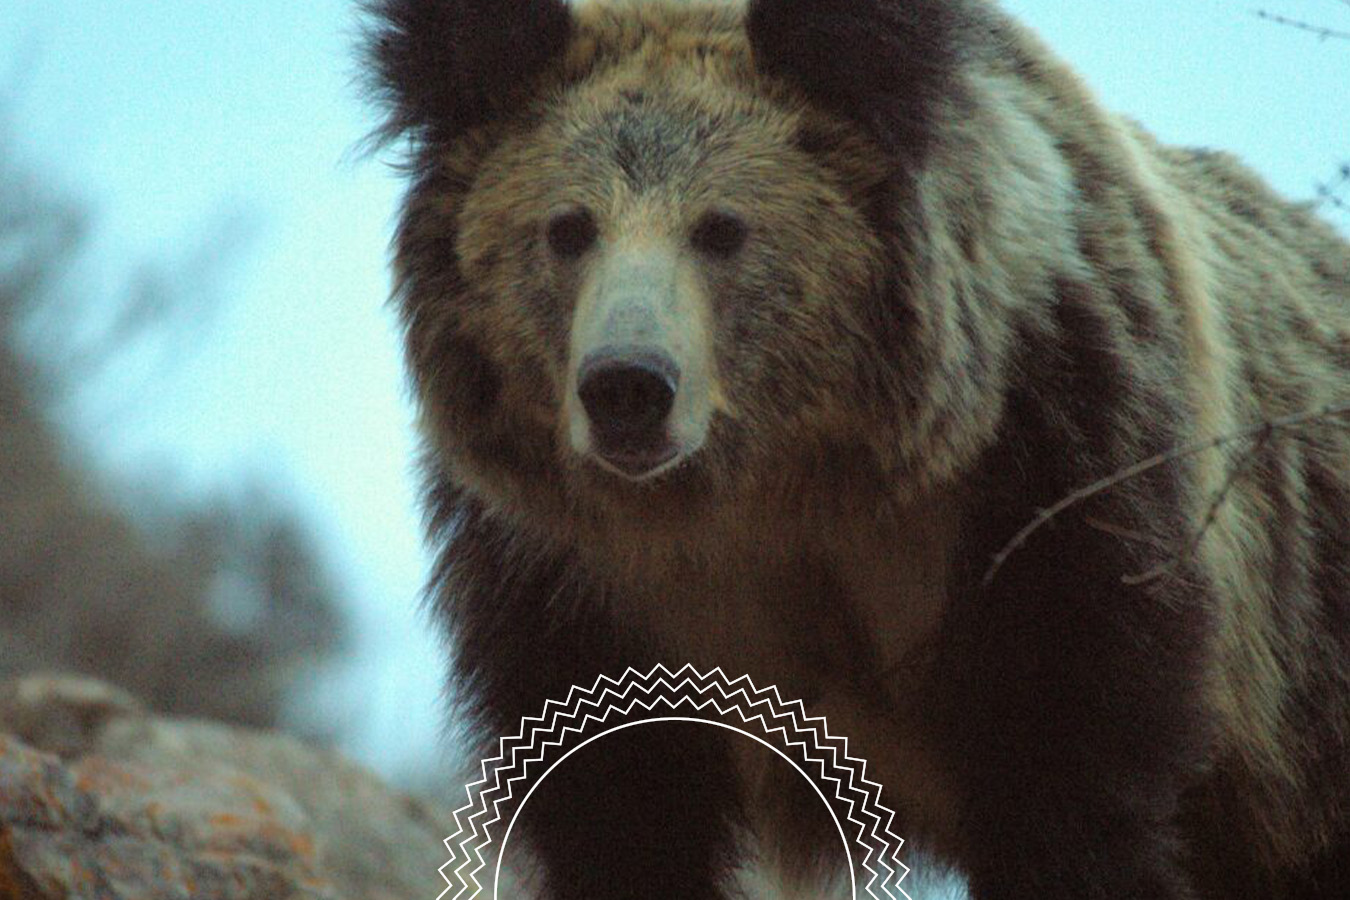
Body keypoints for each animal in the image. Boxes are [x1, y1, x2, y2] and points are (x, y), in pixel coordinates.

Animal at [360, 0, 1350, 897]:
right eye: (567, 227)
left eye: (722, 227)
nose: (627, 387)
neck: (781, 485)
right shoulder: (571, 572)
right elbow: (617, 802)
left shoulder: (1051, 472)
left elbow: (1071, 771)